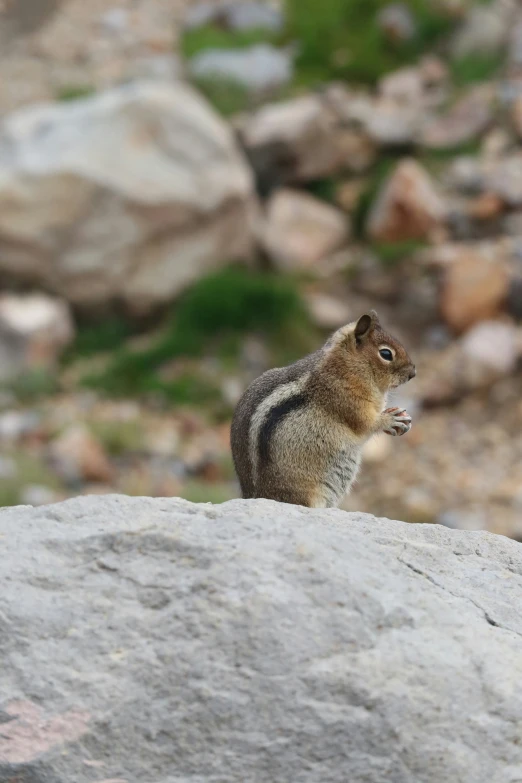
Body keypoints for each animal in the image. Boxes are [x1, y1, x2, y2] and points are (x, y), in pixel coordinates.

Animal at [231, 310, 414, 512]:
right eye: (386, 353)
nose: (412, 373)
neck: (346, 367)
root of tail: (254, 494)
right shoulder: (347, 401)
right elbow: (366, 424)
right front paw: (391, 419)